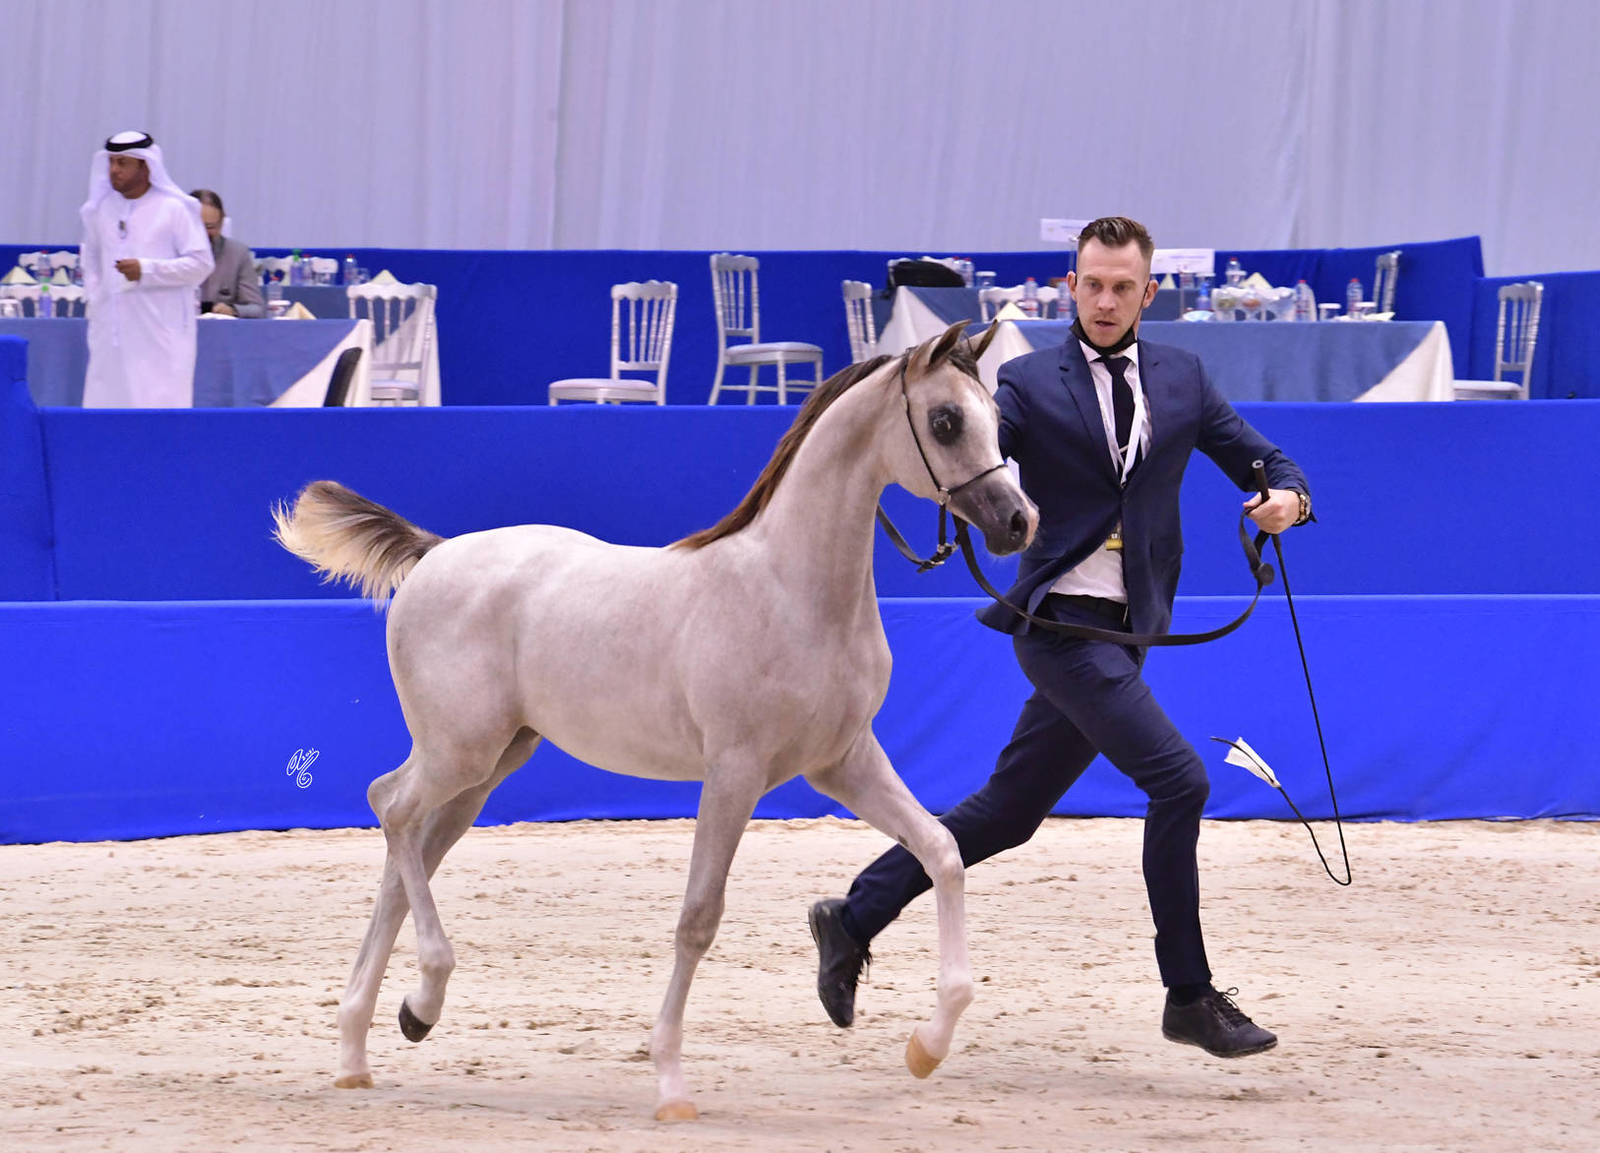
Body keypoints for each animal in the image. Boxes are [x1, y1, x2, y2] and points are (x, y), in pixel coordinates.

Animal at [271, 320, 1038, 1121]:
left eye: (994, 414)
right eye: (945, 421)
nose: (1019, 522)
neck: (791, 591)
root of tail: (433, 554)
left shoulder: (844, 762)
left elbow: (942, 850)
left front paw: (929, 1045)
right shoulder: (734, 773)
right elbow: (698, 918)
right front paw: (670, 1084)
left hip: (488, 768)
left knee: (407, 856)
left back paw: (364, 1045)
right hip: (459, 752)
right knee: (388, 806)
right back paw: (421, 996)